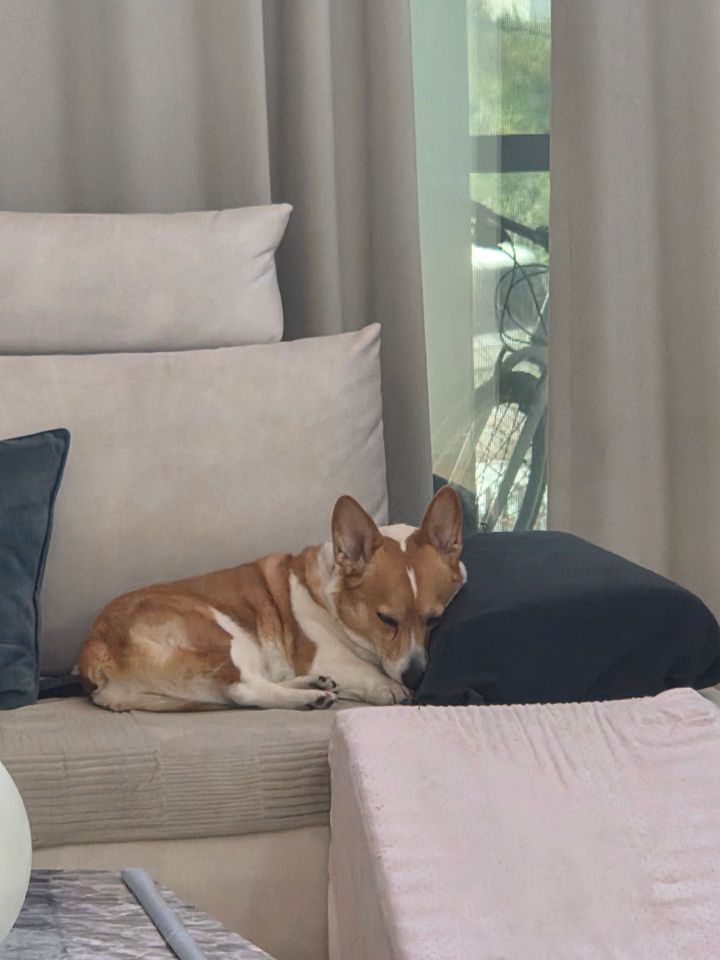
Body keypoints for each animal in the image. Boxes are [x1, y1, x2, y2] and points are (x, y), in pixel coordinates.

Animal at [78, 486, 465, 712]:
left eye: (434, 619)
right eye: (386, 619)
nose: (416, 676)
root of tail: (94, 653)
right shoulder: (325, 655)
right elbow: (367, 673)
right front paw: (389, 687)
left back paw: (313, 686)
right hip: (224, 635)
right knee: (244, 690)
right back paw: (310, 696)